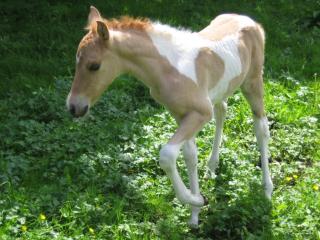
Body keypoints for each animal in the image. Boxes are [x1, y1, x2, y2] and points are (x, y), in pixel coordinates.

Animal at [67, 6, 272, 227]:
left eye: (94, 65)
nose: (74, 107)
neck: (168, 68)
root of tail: (249, 21)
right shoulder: (181, 114)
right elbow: (190, 156)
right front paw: (195, 213)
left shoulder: (201, 113)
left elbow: (167, 155)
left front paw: (197, 199)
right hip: (222, 89)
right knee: (222, 111)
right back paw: (211, 168)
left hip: (253, 82)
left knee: (261, 128)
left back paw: (267, 191)